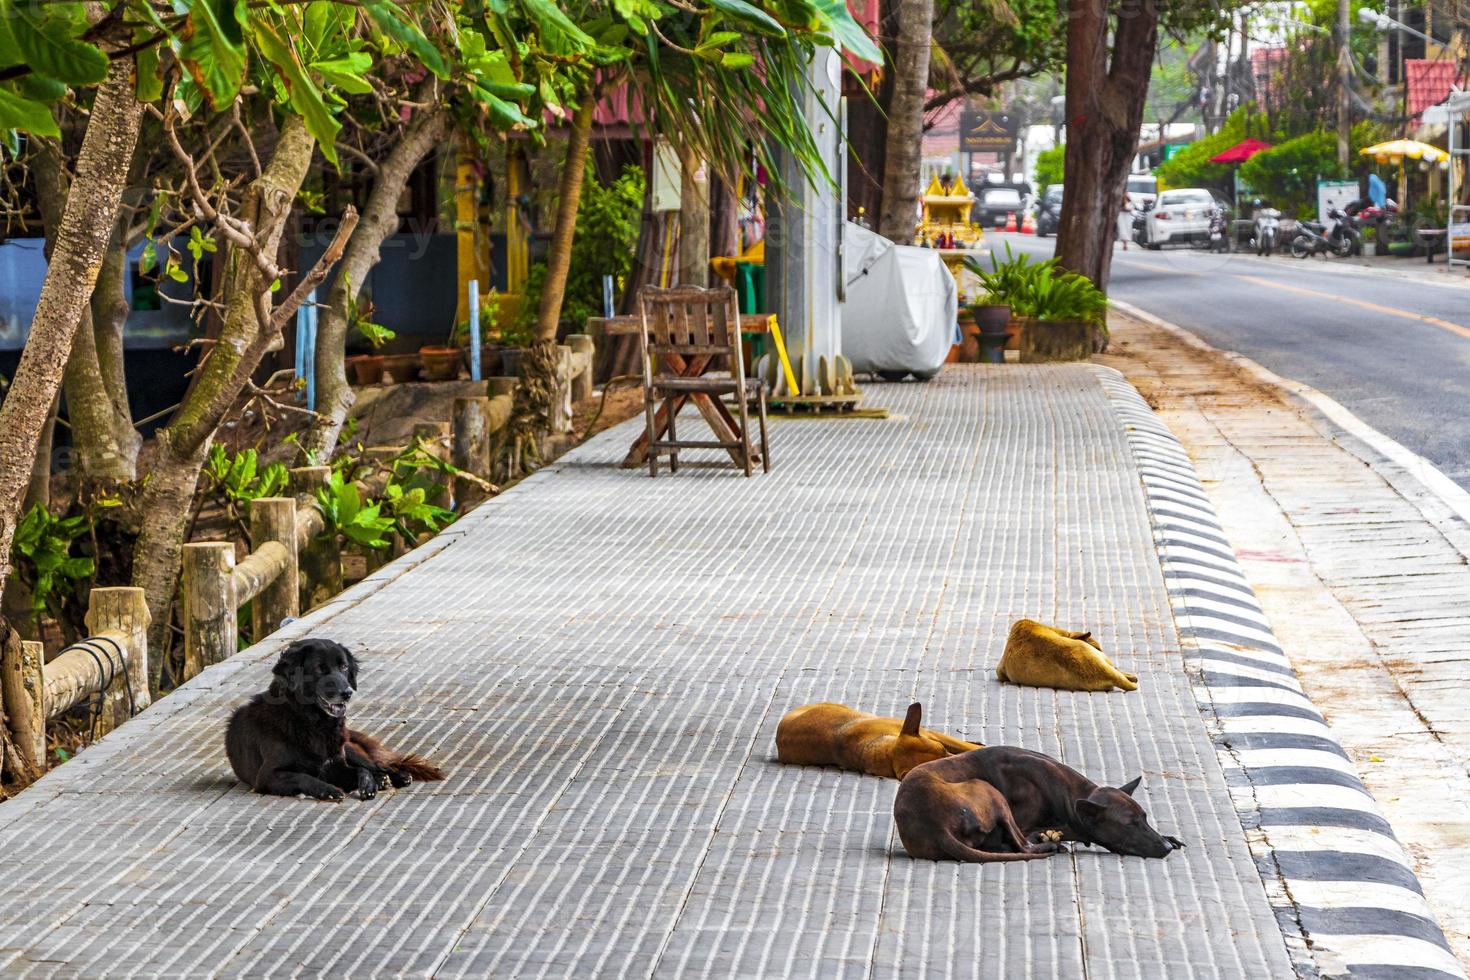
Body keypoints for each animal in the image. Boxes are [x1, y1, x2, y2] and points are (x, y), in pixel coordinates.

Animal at [223, 640, 441, 799]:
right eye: (319, 669)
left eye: (343, 667)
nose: (347, 693)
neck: (313, 723)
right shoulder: (267, 776)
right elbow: (303, 776)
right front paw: (327, 790)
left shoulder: (335, 764)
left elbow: (361, 771)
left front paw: (369, 784)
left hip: (349, 749)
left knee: (375, 765)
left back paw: (394, 776)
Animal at [893, 746, 1181, 863]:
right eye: (1129, 824)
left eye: (1144, 818)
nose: (1166, 847)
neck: (1069, 796)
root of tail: (935, 827)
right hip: (987, 790)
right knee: (1024, 847)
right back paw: (1049, 845)